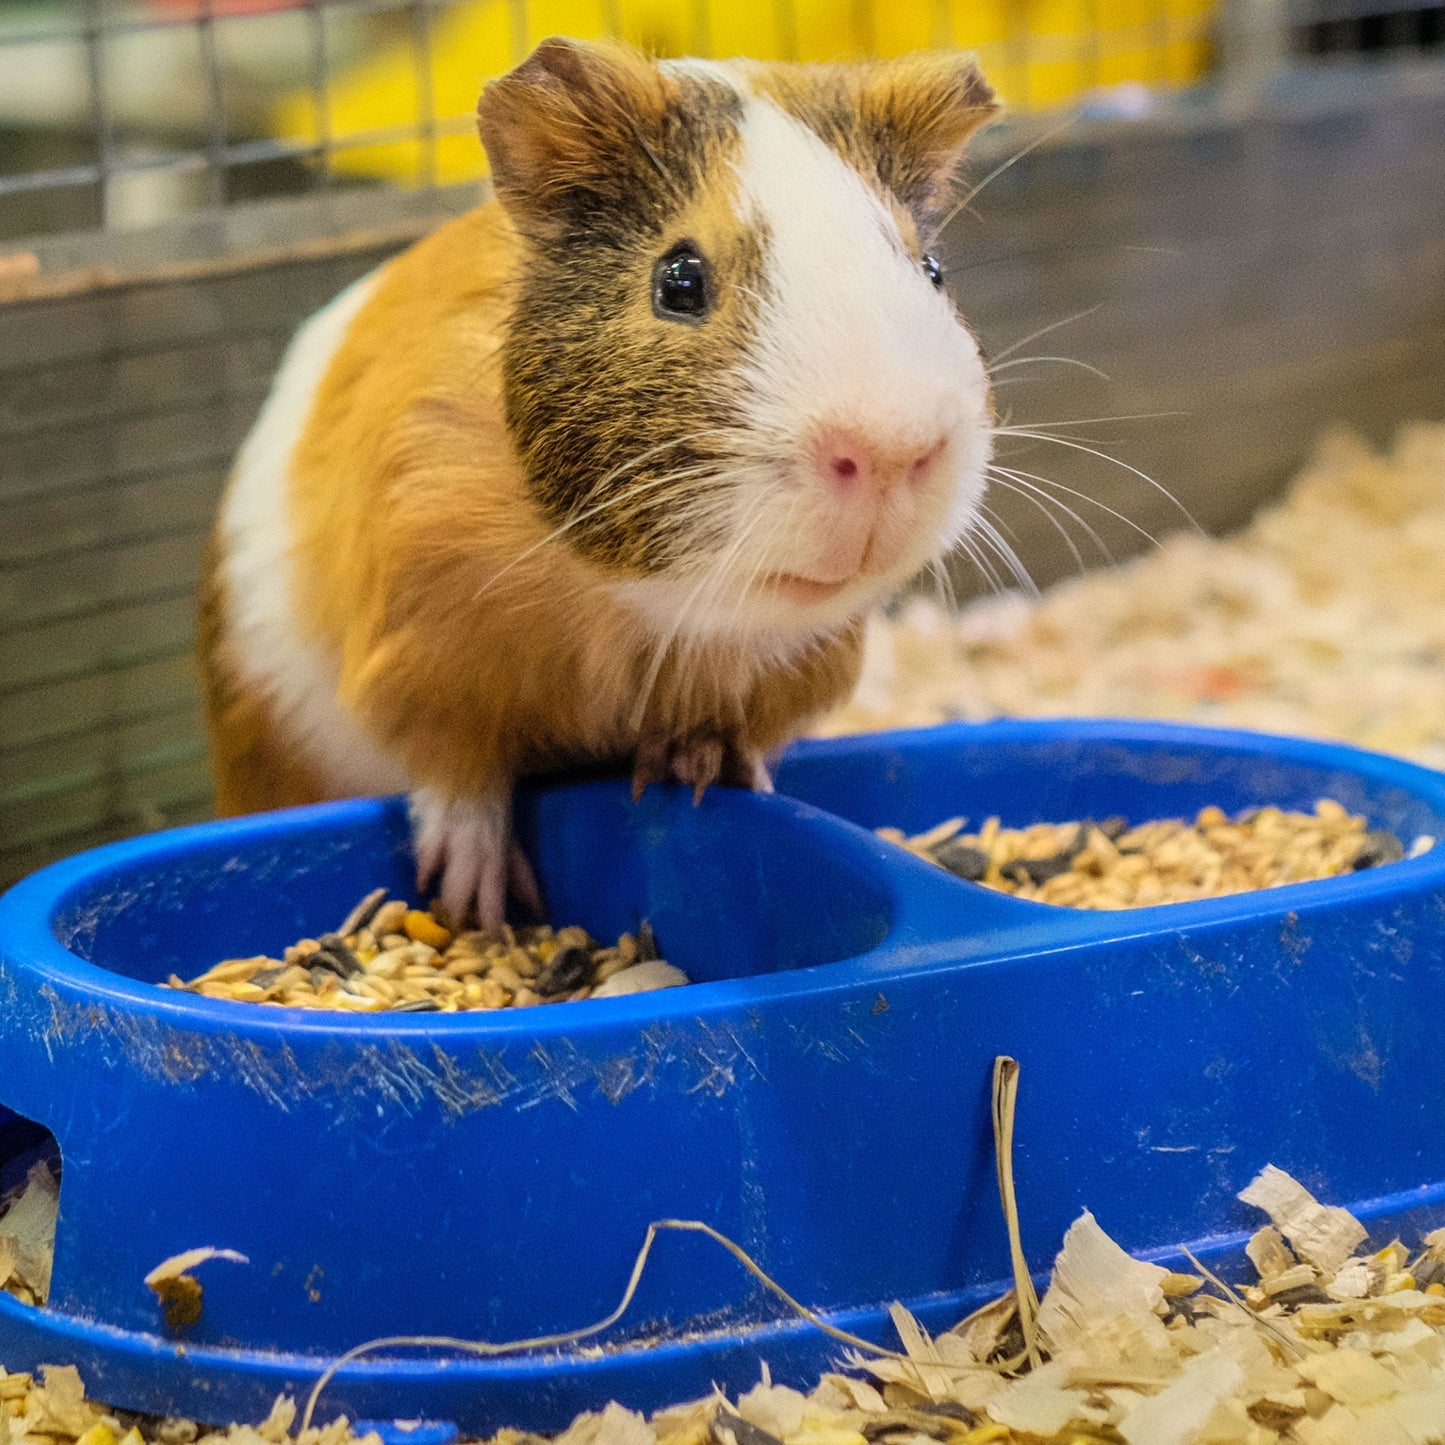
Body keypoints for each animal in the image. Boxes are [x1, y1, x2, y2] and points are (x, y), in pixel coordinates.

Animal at [198, 38, 999, 926]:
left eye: (931, 269)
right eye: (679, 280)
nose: (892, 449)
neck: (641, 614)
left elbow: (731, 735)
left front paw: (698, 771)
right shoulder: (421, 649)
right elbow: (456, 768)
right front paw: (475, 899)